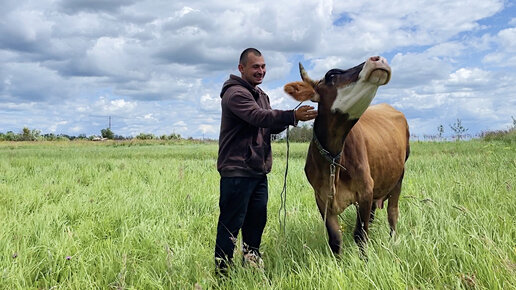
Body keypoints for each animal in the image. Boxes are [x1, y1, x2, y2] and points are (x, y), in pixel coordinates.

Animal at [284, 56, 410, 254]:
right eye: (331, 75)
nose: (378, 59)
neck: (333, 158)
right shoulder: (321, 197)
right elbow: (335, 239)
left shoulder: (365, 191)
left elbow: (360, 235)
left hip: (399, 177)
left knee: (393, 213)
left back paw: (392, 242)